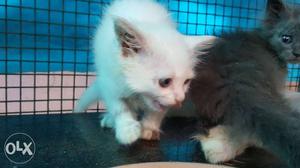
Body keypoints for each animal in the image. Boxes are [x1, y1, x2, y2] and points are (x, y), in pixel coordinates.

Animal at [74, 0, 207, 144]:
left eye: (186, 82)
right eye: (165, 82)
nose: (180, 99)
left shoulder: (162, 101)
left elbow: (157, 111)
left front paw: (149, 128)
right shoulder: (110, 83)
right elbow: (120, 108)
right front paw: (127, 130)